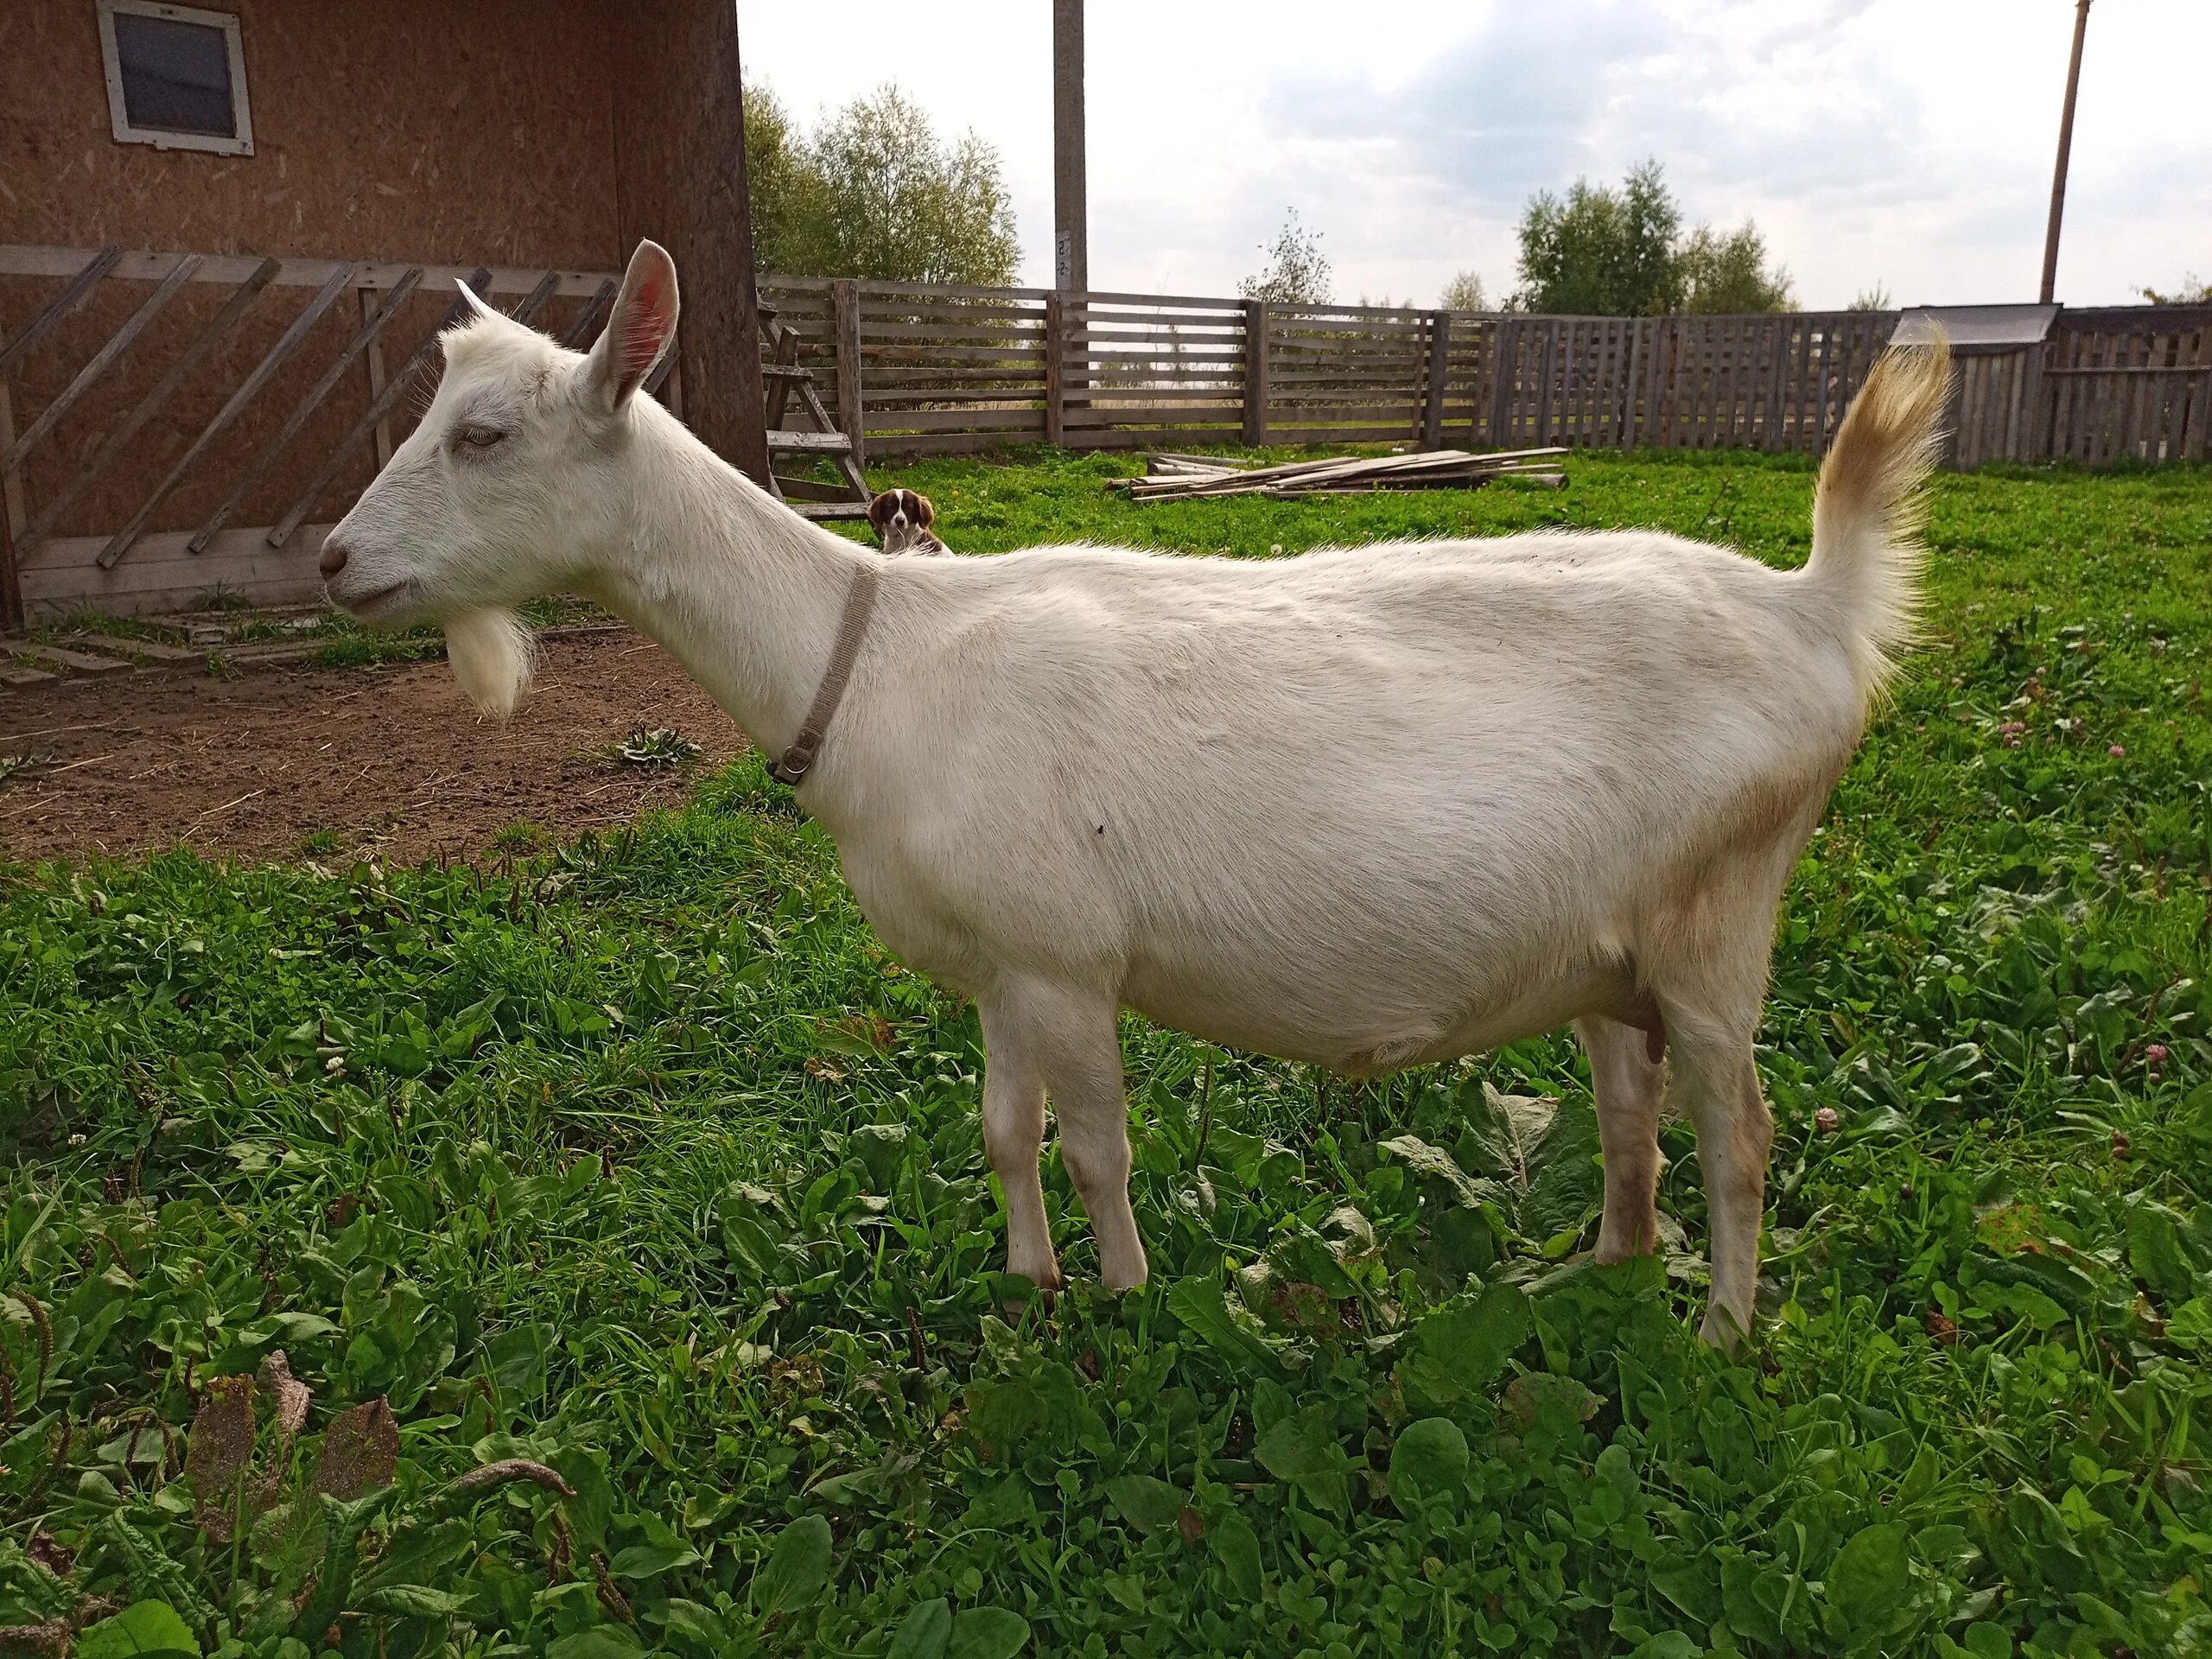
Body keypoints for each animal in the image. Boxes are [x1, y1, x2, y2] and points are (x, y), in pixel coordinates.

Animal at [321, 239, 1946, 1344]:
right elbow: (998, 1131)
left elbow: (1096, 1145)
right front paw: (1027, 1282)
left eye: (483, 435)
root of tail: (1813, 609)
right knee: (1631, 1102)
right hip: (1615, 949)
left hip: (1721, 916)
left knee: (1741, 1131)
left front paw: (1123, 1293)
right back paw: (1595, 1269)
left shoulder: (1064, 957)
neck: (882, 654)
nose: (335, 562)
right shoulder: (992, 963)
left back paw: (1719, 1330)